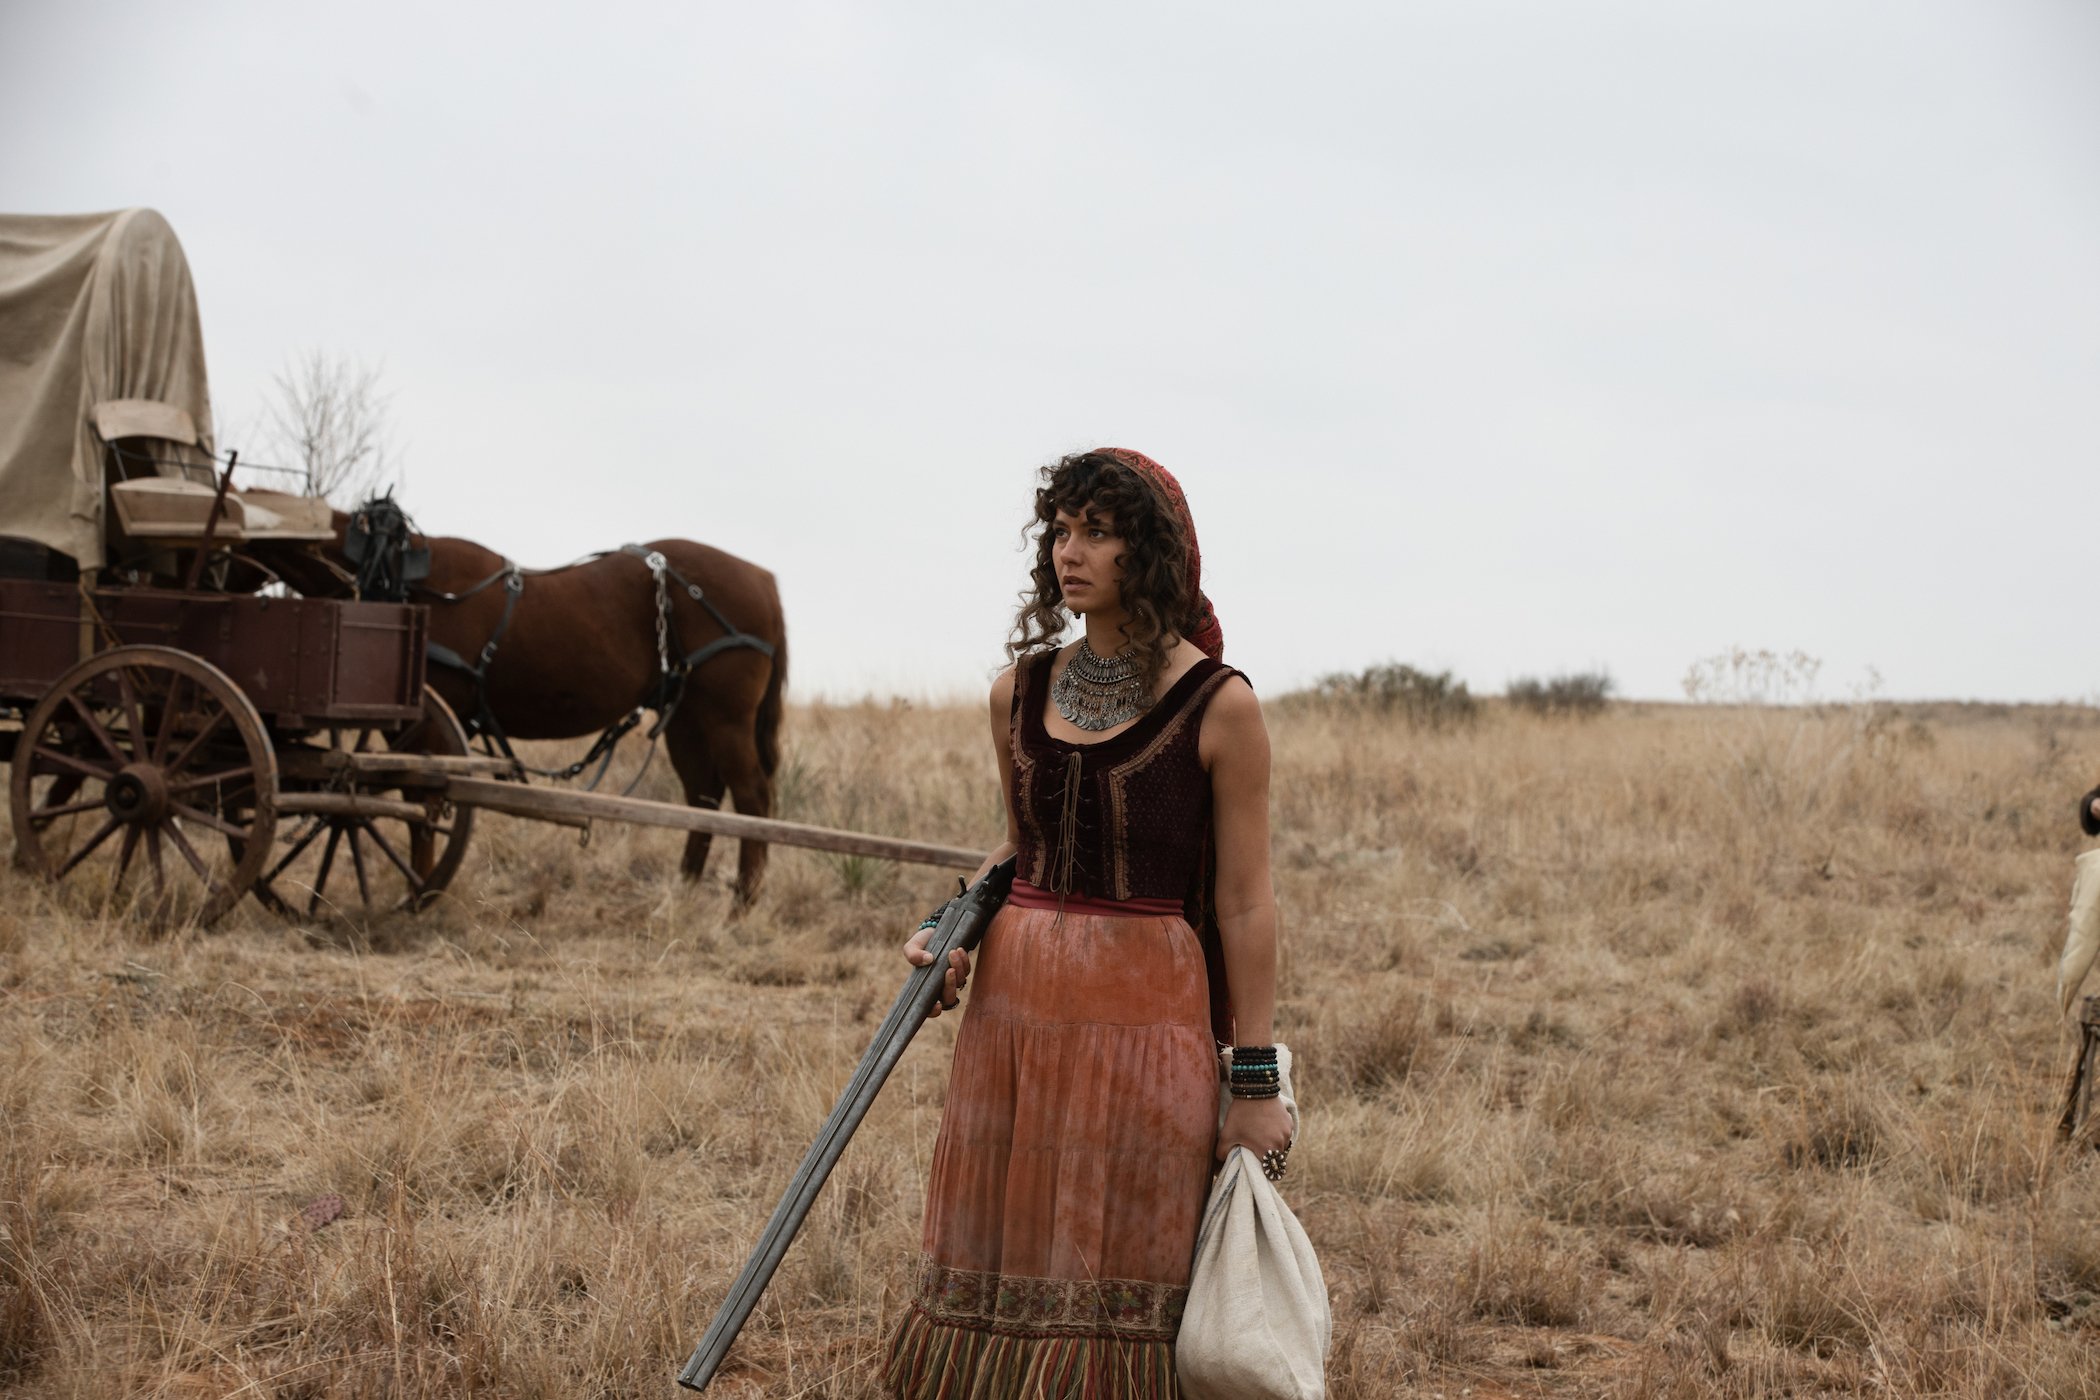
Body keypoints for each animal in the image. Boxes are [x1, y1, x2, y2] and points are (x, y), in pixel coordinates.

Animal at [261, 510, 785, 902]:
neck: (402, 577)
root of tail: (764, 579)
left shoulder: (426, 724)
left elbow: (421, 804)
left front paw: (419, 892)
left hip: (725, 717)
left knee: (751, 796)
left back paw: (742, 904)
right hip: (686, 719)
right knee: (703, 798)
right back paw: (685, 892)